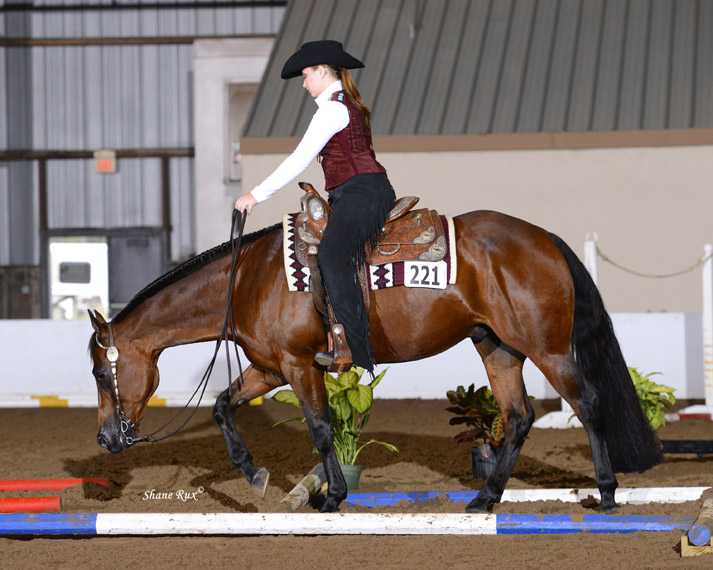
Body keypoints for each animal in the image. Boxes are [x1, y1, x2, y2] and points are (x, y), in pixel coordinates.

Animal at [87, 207, 660, 510]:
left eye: (99, 371)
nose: (107, 439)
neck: (251, 278)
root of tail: (546, 239)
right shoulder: (269, 367)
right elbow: (223, 405)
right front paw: (253, 474)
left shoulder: (299, 366)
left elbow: (321, 429)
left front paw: (332, 495)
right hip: (498, 348)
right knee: (518, 418)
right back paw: (485, 498)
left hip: (547, 349)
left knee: (588, 404)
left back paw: (607, 494)